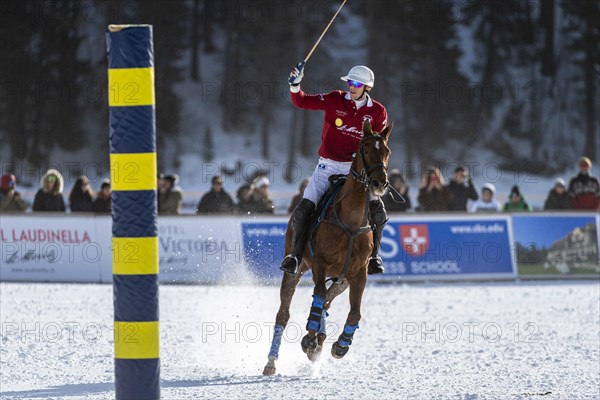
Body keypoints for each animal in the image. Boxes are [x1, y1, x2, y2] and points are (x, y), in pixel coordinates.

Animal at [264, 119, 394, 376]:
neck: (351, 220)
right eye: (365, 148)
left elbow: (354, 312)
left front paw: (340, 345)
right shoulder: (320, 265)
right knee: (285, 312)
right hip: (296, 268)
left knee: (324, 301)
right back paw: (273, 361)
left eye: (387, 151)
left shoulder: (358, 273)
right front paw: (310, 340)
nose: (379, 183)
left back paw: (319, 340)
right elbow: (317, 298)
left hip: (342, 280)